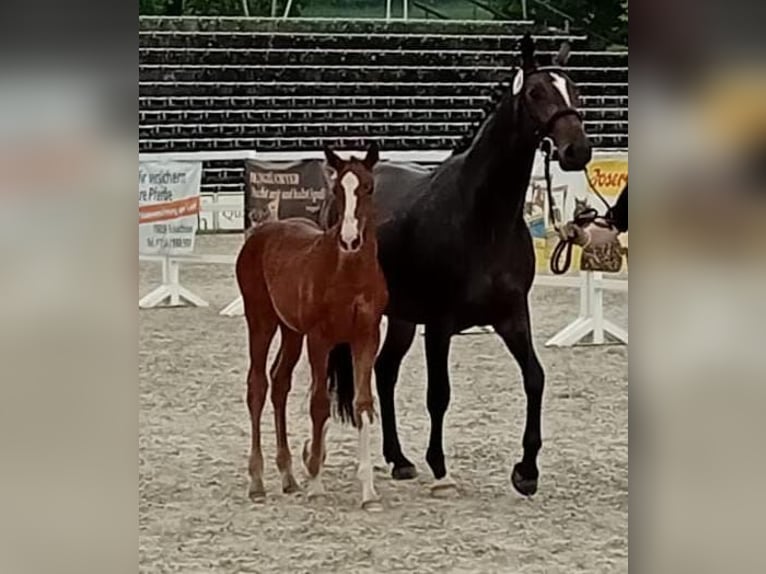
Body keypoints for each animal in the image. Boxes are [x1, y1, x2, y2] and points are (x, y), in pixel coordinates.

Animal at [236, 144, 390, 512]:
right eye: (337, 189)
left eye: (368, 187)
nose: (350, 239)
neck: (348, 272)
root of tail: (260, 234)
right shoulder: (320, 339)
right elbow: (319, 403)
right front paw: (317, 483)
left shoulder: (367, 337)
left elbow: (364, 405)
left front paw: (369, 493)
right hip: (261, 321)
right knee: (257, 386)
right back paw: (258, 481)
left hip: (291, 331)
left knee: (279, 382)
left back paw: (288, 476)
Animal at [330, 33, 592, 498]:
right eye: (535, 92)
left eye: (575, 91)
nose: (576, 150)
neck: (483, 216)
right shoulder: (440, 323)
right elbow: (439, 394)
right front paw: (440, 467)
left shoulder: (511, 315)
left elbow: (535, 378)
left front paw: (526, 470)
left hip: (401, 317)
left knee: (384, 371)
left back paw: (399, 459)